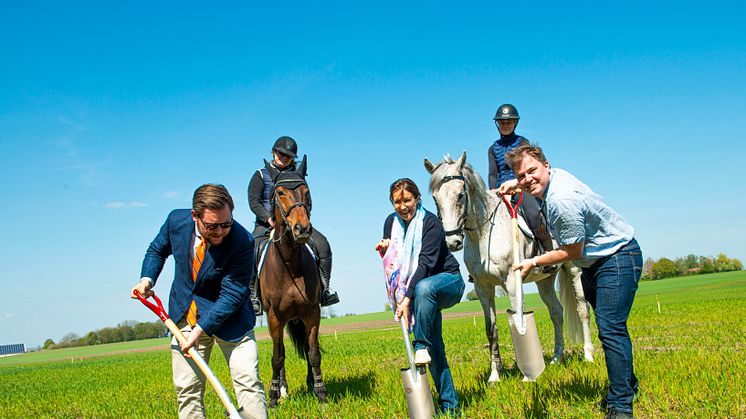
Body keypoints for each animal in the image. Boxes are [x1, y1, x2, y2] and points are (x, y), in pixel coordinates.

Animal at [256, 162, 326, 408]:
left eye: (306, 191)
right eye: (279, 193)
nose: (302, 229)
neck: (289, 263)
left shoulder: (312, 313)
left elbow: (313, 353)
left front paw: (321, 394)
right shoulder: (275, 317)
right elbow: (277, 358)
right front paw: (273, 398)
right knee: (282, 352)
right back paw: (283, 389)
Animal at [424, 152, 592, 384]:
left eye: (460, 195)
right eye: (435, 199)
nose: (453, 242)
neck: (484, 233)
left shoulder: (512, 282)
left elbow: (519, 322)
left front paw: (527, 376)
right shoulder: (483, 288)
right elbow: (491, 330)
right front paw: (495, 376)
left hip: (573, 269)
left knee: (582, 309)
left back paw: (588, 355)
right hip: (545, 281)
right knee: (557, 312)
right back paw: (557, 358)